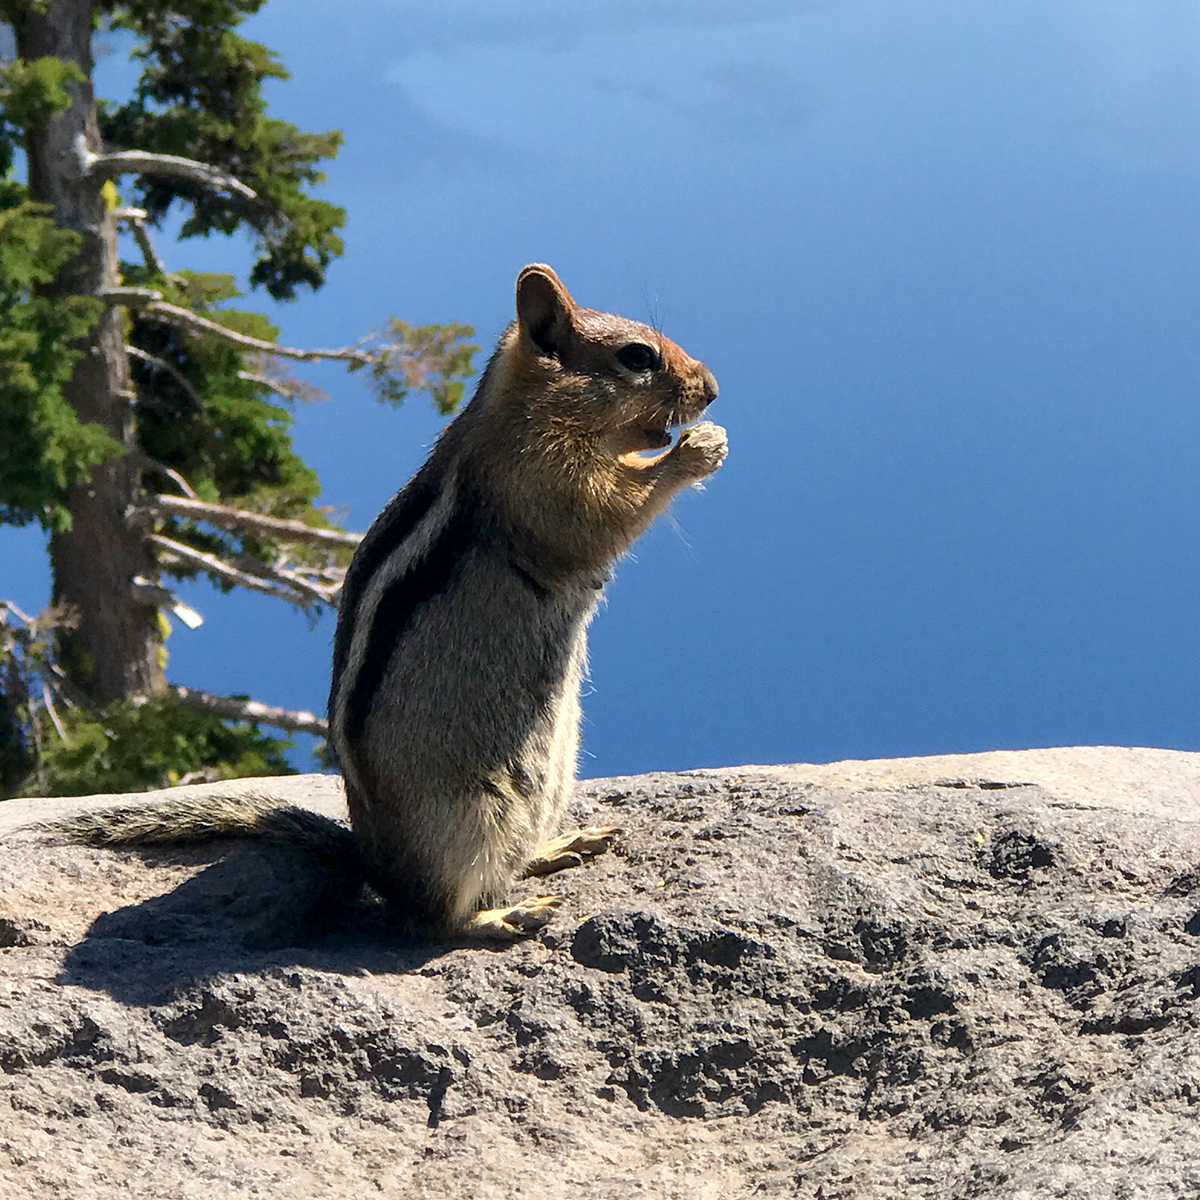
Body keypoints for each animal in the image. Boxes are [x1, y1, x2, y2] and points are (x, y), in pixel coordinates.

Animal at [39, 264, 727, 941]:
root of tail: (375, 863)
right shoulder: (544, 482)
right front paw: (698, 449)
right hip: (471, 818)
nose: (714, 390)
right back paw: (502, 914)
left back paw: (559, 846)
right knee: (435, 918)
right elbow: (606, 514)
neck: (525, 410)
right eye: (636, 356)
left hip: (550, 780)